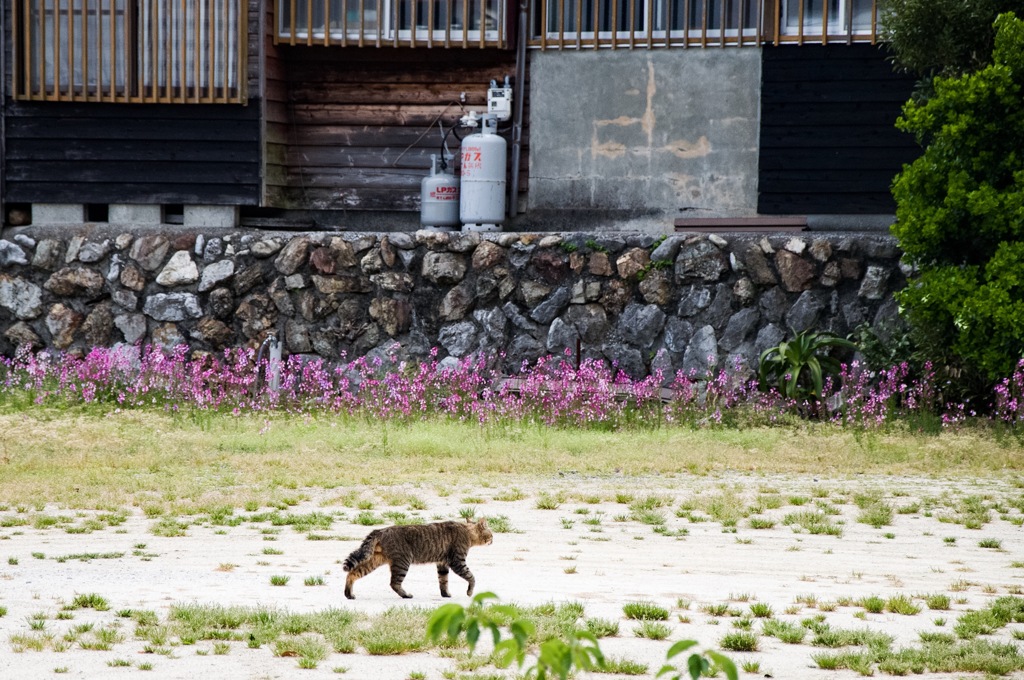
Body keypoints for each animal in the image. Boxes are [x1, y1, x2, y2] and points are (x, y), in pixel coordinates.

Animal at [342, 518, 493, 598]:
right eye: (491, 534)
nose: (493, 540)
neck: (468, 532)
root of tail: (380, 530)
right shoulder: (457, 561)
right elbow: (471, 577)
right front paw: (470, 592)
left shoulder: (442, 564)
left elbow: (443, 581)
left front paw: (445, 594)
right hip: (403, 562)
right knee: (394, 583)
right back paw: (405, 595)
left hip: (374, 560)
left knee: (352, 573)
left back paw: (349, 594)